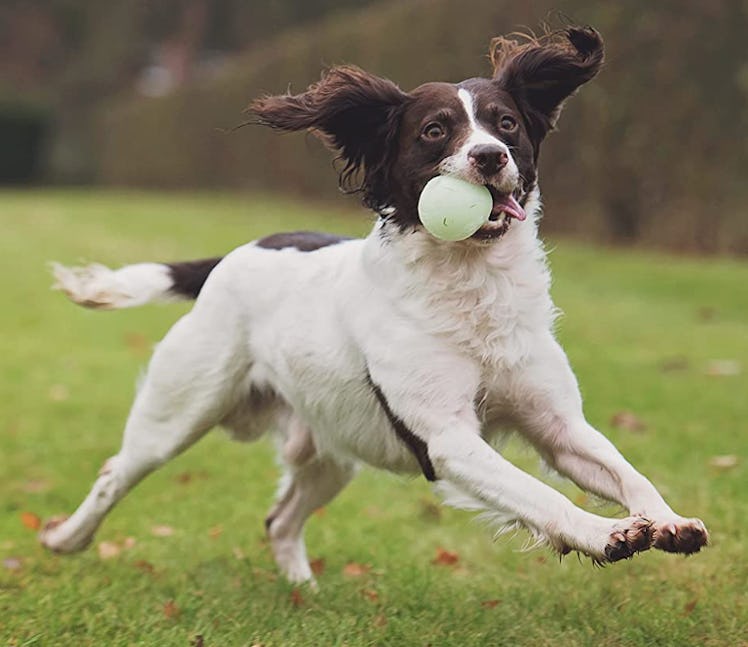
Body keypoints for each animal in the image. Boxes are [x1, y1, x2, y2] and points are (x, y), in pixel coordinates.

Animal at [41, 25, 708, 584]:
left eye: (507, 123)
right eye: (435, 129)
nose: (490, 156)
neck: (471, 281)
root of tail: (234, 254)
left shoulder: (557, 424)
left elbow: (624, 470)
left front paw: (668, 520)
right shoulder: (446, 438)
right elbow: (540, 494)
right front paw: (604, 533)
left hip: (333, 442)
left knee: (280, 520)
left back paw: (305, 594)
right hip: (180, 410)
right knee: (116, 473)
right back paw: (64, 540)